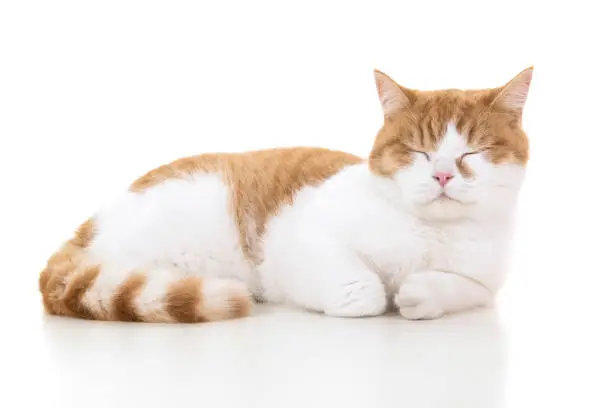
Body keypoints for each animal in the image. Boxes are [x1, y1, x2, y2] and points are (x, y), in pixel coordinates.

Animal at [40, 66, 532, 322]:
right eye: (418, 151)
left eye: (472, 151)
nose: (444, 176)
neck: (433, 234)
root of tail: (86, 227)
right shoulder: (300, 243)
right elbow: (365, 292)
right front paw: (381, 293)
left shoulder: (485, 283)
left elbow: (455, 288)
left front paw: (419, 292)